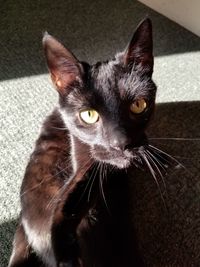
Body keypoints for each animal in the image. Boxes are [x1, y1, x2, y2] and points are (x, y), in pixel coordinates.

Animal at [8, 18, 158, 267]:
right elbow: (72, 195)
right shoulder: (83, 159)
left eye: (138, 105)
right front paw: (64, 248)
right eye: (89, 115)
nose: (120, 143)